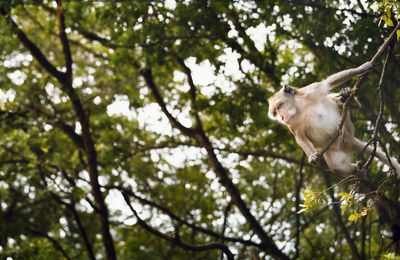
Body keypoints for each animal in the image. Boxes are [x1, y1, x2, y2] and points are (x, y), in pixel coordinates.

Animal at [268, 62, 400, 177]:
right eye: (274, 113)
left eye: (279, 106)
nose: (281, 118)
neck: (300, 109)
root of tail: (349, 142)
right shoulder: (292, 125)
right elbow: (300, 138)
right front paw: (312, 156)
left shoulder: (311, 91)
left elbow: (328, 83)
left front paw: (361, 68)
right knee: (337, 167)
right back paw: (356, 170)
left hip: (348, 129)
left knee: (336, 101)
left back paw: (350, 101)